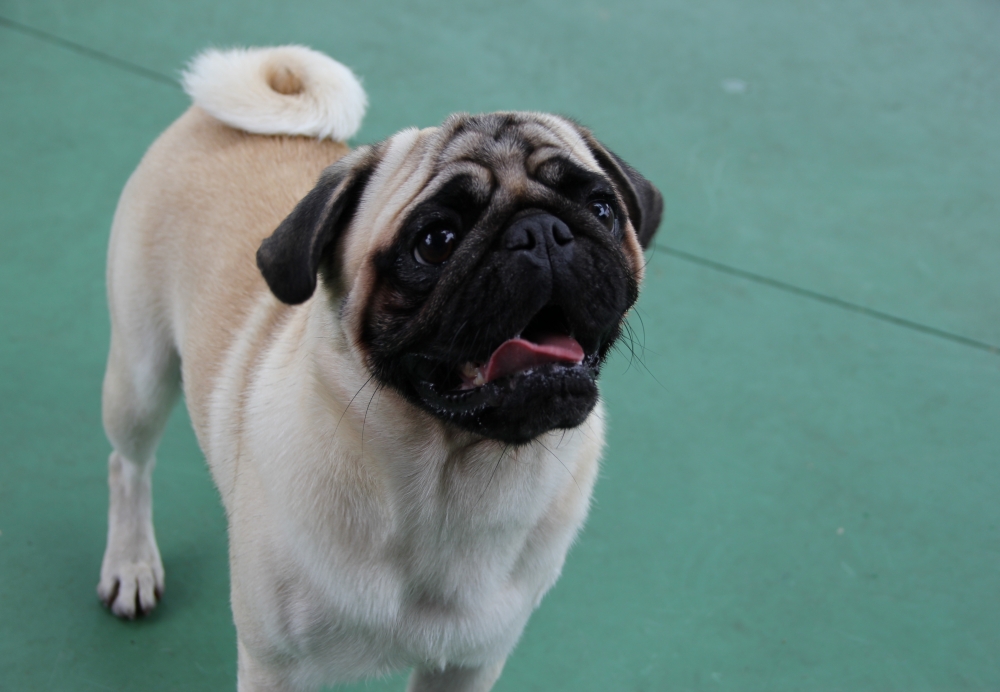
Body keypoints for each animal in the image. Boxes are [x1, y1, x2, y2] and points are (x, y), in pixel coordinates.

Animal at [97, 46, 660, 688]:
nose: (541, 230)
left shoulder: (469, 663)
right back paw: (131, 562)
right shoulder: (279, 668)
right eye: (436, 241)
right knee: (128, 466)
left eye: (601, 208)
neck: (453, 484)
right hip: (140, 376)